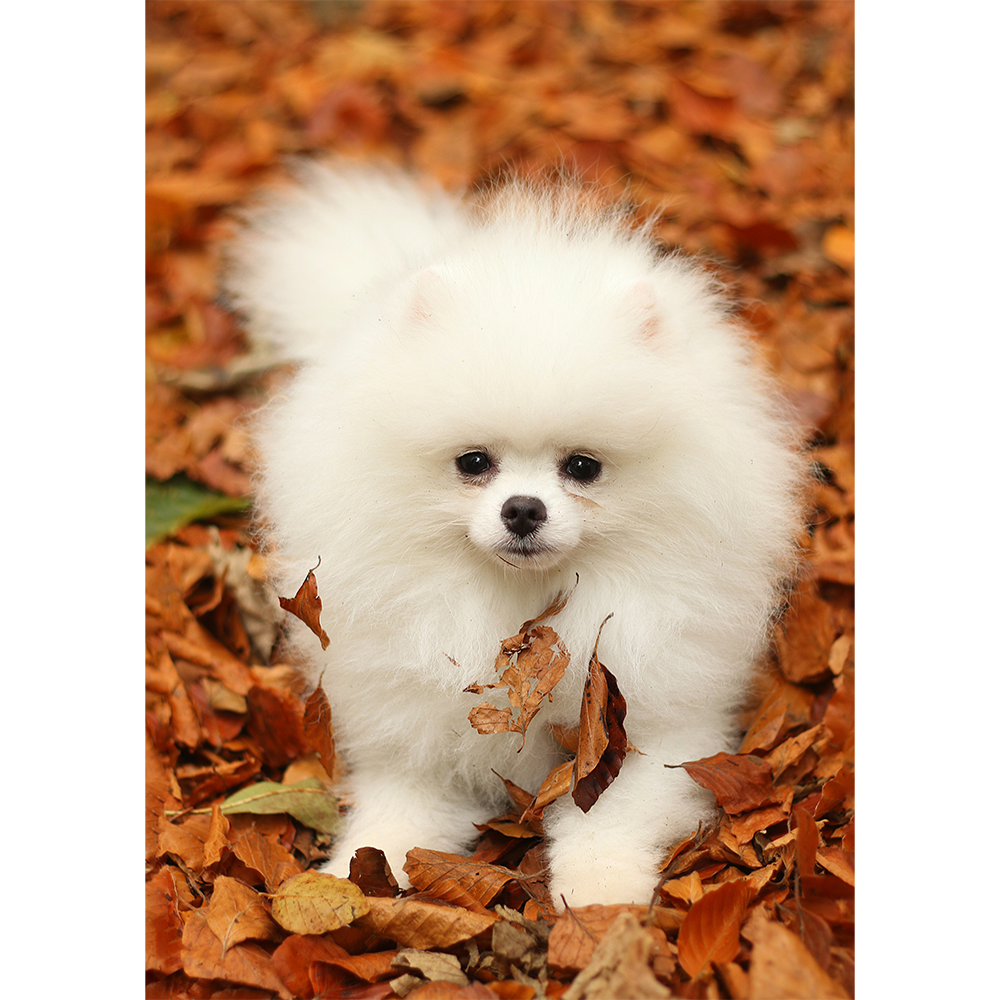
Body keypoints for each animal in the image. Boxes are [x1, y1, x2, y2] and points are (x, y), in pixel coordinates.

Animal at [227, 162, 804, 908]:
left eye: (582, 467)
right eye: (474, 463)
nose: (524, 509)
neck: (523, 610)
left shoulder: (648, 727)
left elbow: (609, 815)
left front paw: (600, 893)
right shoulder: (416, 725)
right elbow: (399, 809)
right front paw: (355, 878)